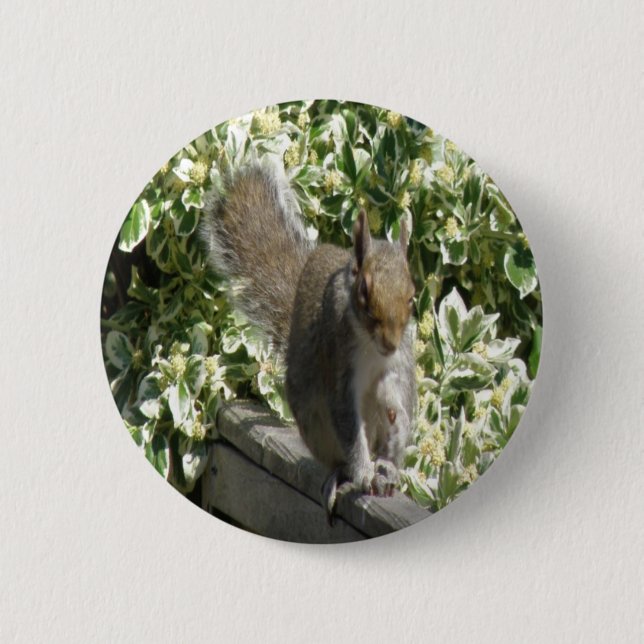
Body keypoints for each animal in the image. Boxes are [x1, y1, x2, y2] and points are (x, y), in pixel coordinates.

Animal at [200, 163, 417, 517]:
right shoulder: (337, 362)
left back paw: (386, 466)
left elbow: (400, 396)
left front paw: (394, 424)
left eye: (412, 296)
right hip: (314, 421)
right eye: (364, 291)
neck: (372, 347)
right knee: (338, 457)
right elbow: (347, 421)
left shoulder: (400, 361)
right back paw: (345, 475)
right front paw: (363, 473)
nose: (389, 343)